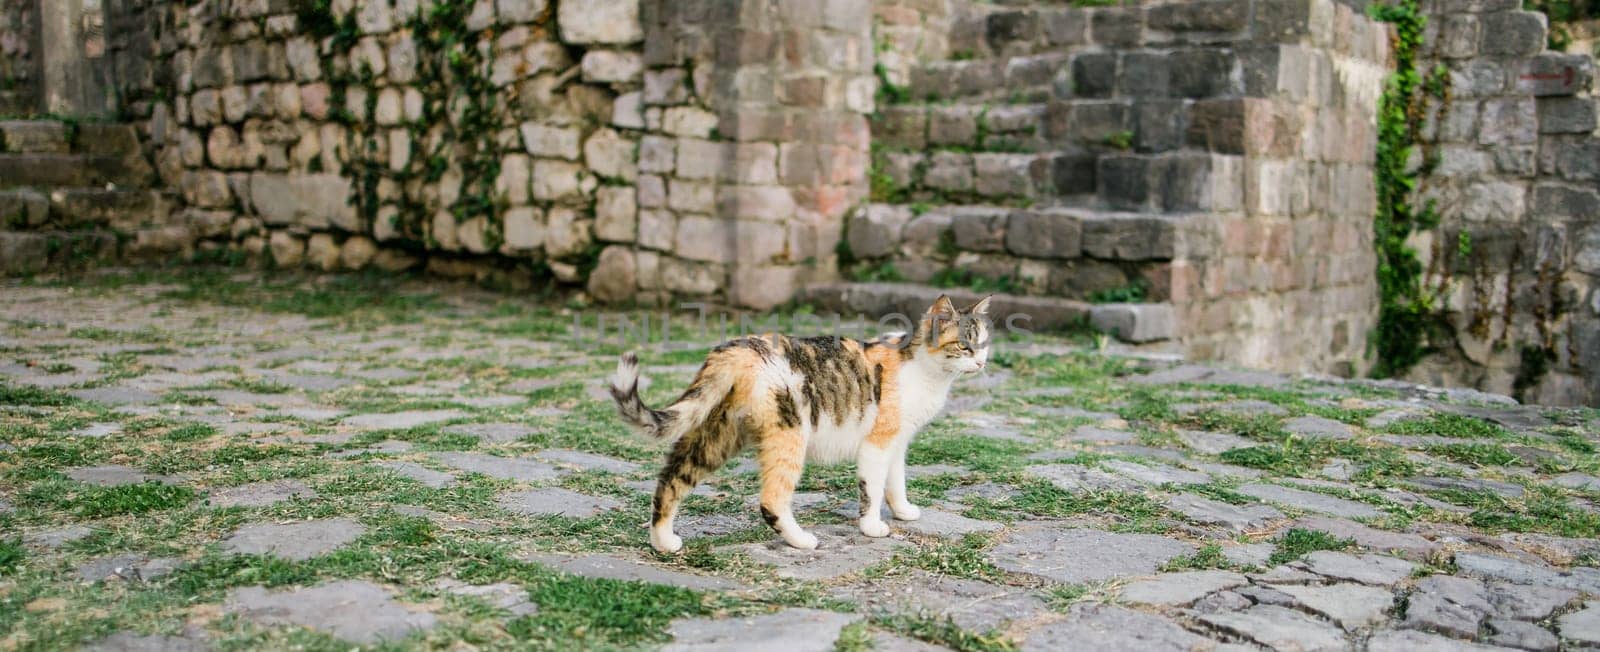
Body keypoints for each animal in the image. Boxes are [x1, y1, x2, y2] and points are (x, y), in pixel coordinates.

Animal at [608, 297, 985, 552]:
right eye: (963, 346)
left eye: (983, 344)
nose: (982, 362)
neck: (923, 368)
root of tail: (739, 348)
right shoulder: (877, 443)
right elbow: (873, 489)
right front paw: (872, 526)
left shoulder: (897, 442)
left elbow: (896, 482)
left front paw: (903, 511)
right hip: (789, 435)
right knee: (772, 500)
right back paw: (801, 540)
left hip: (718, 433)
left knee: (671, 479)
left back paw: (663, 542)